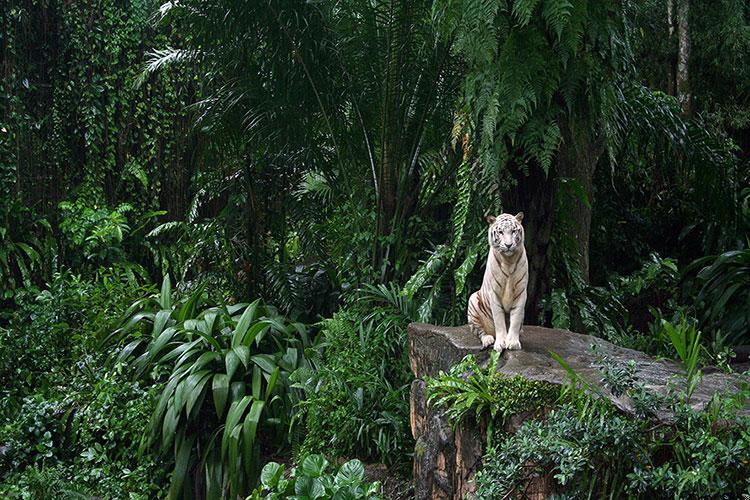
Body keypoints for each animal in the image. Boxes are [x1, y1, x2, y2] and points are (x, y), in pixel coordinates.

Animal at [468, 214, 532, 352]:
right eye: (501, 232)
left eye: (513, 231)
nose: (508, 245)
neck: (509, 261)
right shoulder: (494, 293)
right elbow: (499, 320)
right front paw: (500, 343)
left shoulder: (521, 292)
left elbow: (516, 318)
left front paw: (512, 343)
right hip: (473, 300)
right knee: (480, 331)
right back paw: (488, 339)